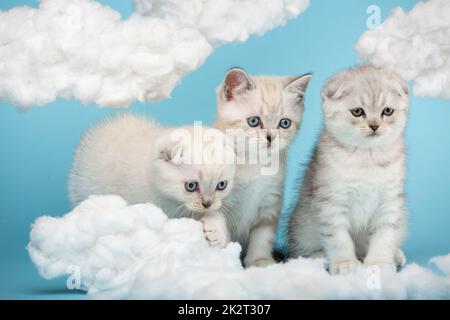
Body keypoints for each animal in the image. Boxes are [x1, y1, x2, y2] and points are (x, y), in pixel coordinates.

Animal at [215, 68, 312, 268]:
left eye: (284, 123)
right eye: (253, 121)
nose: (270, 137)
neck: (254, 163)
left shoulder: (270, 201)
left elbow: (263, 235)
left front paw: (260, 261)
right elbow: (217, 219)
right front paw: (225, 254)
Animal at [288, 65, 408, 276]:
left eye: (387, 111)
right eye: (358, 112)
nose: (374, 125)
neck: (367, 158)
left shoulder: (390, 202)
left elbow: (385, 236)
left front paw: (379, 263)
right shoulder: (331, 203)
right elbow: (339, 239)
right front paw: (345, 264)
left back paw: (396, 255)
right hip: (301, 227)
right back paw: (319, 257)